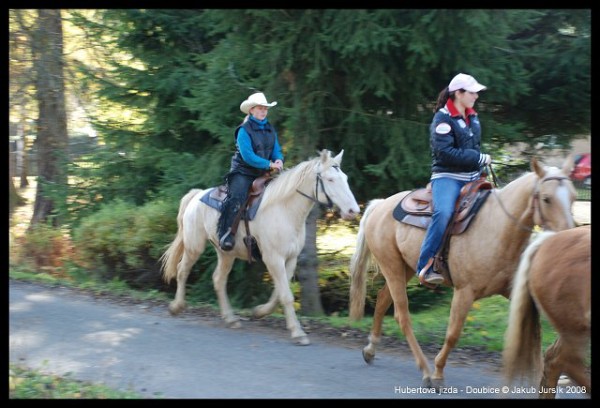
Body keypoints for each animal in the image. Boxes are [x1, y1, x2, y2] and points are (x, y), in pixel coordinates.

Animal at [159, 149, 358, 344]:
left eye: (346, 178)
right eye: (330, 179)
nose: (353, 211)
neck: (285, 210)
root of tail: (197, 196)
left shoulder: (290, 259)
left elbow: (280, 293)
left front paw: (259, 311)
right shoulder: (273, 258)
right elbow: (286, 295)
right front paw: (298, 332)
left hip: (226, 253)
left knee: (218, 279)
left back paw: (230, 318)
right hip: (194, 246)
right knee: (182, 271)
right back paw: (176, 306)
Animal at [350, 157, 576, 388]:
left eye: (573, 197)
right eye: (547, 199)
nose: (567, 237)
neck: (497, 227)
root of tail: (379, 205)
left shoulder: (515, 291)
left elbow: (538, 333)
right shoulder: (464, 292)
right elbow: (453, 334)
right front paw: (438, 374)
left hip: (406, 268)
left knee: (382, 299)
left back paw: (371, 349)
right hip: (392, 266)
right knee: (402, 316)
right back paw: (425, 371)